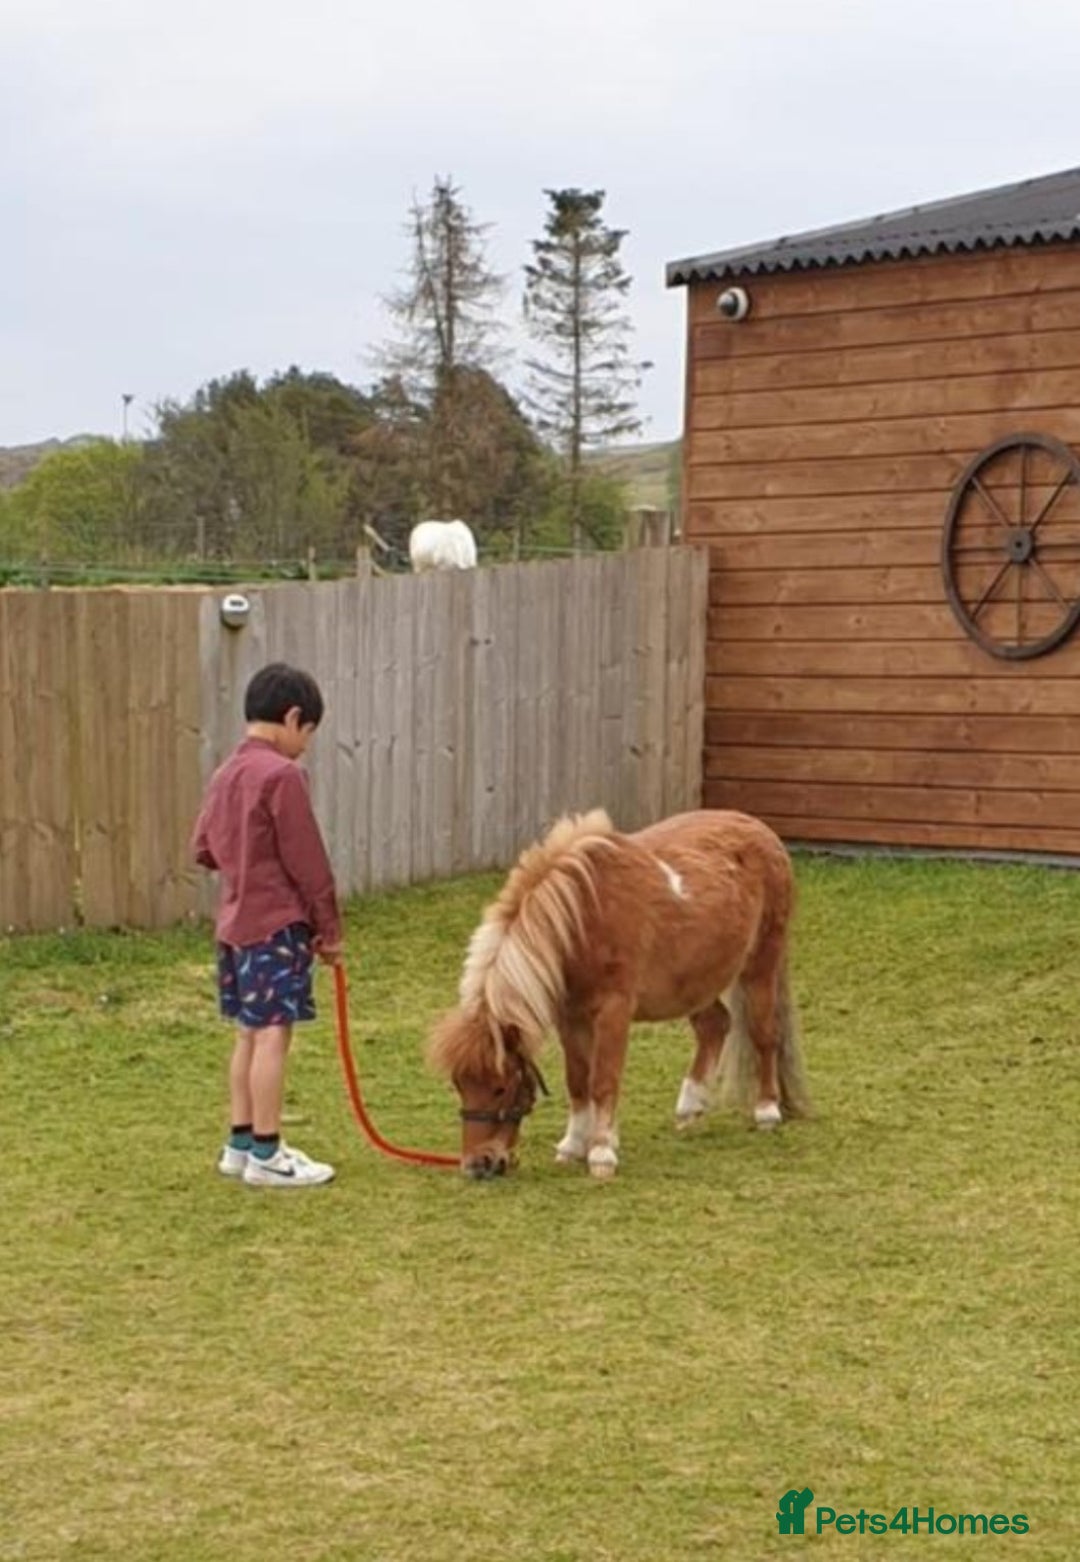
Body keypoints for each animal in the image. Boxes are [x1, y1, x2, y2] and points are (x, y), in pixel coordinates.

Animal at [427, 808, 809, 1180]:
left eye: (500, 1088)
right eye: (459, 1084)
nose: (478, 1164)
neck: (580, 920)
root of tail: (761, 830)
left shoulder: (613, 1011)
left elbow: (602, 1080)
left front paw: (601, 1153)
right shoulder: (570, 1016)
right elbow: (578, 1081)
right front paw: (573, 1146)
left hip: (760, 965)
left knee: (764, 1034)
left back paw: (767, 1110)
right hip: (696, 981)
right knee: (715, 1024)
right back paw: (690, 1106)